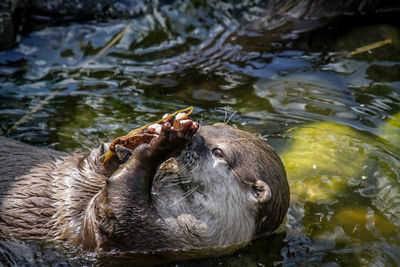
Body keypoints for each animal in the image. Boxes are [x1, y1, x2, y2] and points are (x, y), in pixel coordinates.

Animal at [0, 116, 288, 264]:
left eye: (218, 152)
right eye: (216, 126)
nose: (195, 135)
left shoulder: (162, 238)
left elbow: (117, 210)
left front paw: (160, 143)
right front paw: (152, 131)